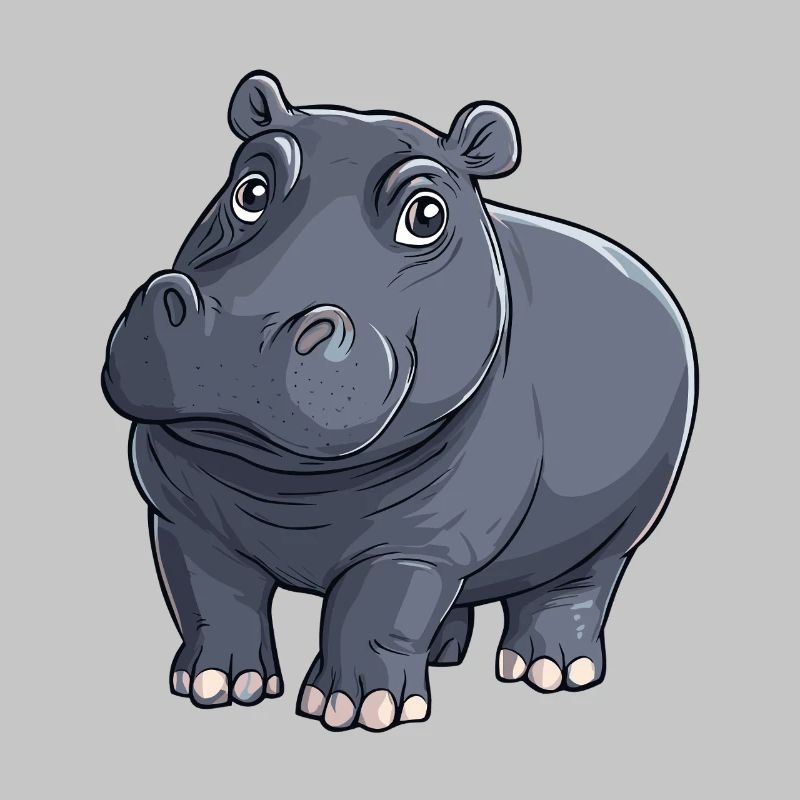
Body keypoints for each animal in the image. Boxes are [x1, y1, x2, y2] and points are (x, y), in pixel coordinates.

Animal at [101, 71, 697, 732]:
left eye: (427, 213)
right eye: (251, 188)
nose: (239, 325)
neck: (286, 487)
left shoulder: (421, 541)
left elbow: (377, 611)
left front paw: (356, 710)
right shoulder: (182, 515)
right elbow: (210, 597)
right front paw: (215, 687)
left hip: (618, 530)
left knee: (575, 586)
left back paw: (549, 672)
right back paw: (444, 654)